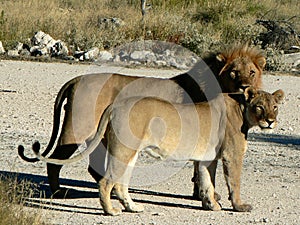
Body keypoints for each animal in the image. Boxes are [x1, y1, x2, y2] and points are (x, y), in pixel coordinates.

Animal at [18, 43, 266, 197]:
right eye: (233, 72)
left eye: (252, 72)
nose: (245, 86)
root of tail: (77, 78)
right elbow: (199, 167)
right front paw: (201, 196)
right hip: (76, 129)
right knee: (54, 161)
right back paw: (60, 192)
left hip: (98, 135)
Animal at [31, 87, 284, 215]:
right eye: (259, 107)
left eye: (275, 106)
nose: (271, 121)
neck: (243, 110)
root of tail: (116, 105)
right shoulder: (233, 155)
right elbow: (234, 183)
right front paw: (240, 207)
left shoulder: (206, 159)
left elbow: (207, 183)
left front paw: (211, 205)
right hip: (124, 149)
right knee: (106, 181)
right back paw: (111, 211)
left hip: (128, 151)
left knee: (120, 183)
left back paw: (132, 207)